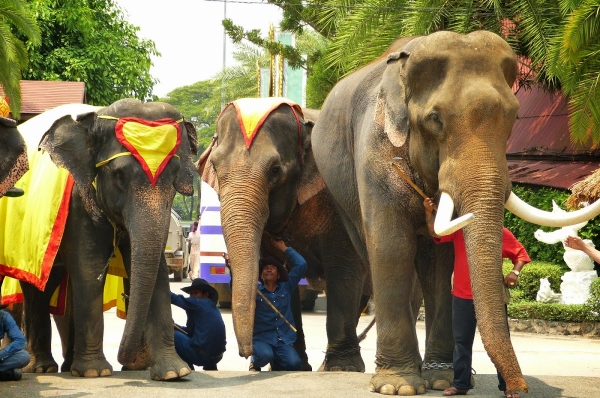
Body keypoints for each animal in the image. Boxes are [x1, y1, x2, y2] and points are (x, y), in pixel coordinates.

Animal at [310, 30, 600, 394]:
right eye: (435, 119)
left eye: (513, 117)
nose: (518, 389)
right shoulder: (374, 155)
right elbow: (391, 248)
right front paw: (398, 387)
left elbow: (440, 261)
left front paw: (440, 378)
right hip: (339, 190)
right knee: (370, 251)